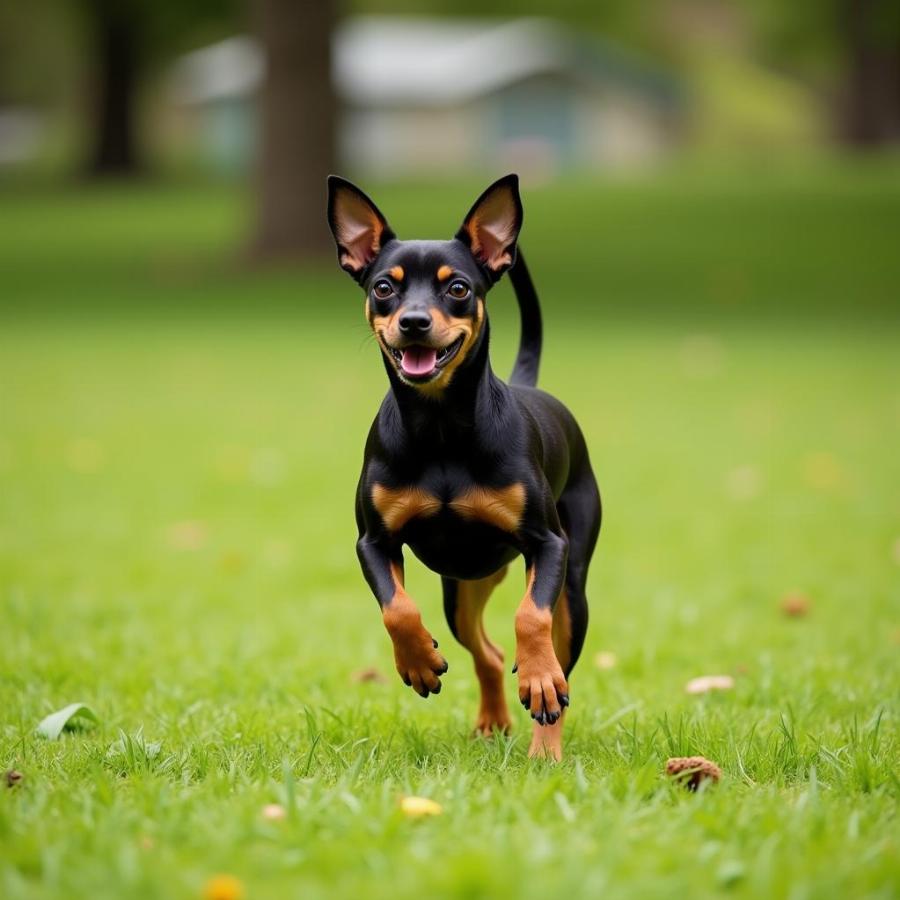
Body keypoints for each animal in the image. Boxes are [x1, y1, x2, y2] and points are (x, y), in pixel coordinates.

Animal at [326, 176, 600, 760]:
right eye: (383, 287)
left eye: (457, 289)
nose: (413, 322)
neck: (441, 430)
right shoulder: (373, 542)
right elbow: (397, 609)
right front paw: (418, 661)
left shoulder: (549, 545)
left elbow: (531, 617)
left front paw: (537, 678)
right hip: (462, 591)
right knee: (489, 654)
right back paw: (493, 720)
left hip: (573, 586)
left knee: (561, 672)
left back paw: (545, 743)